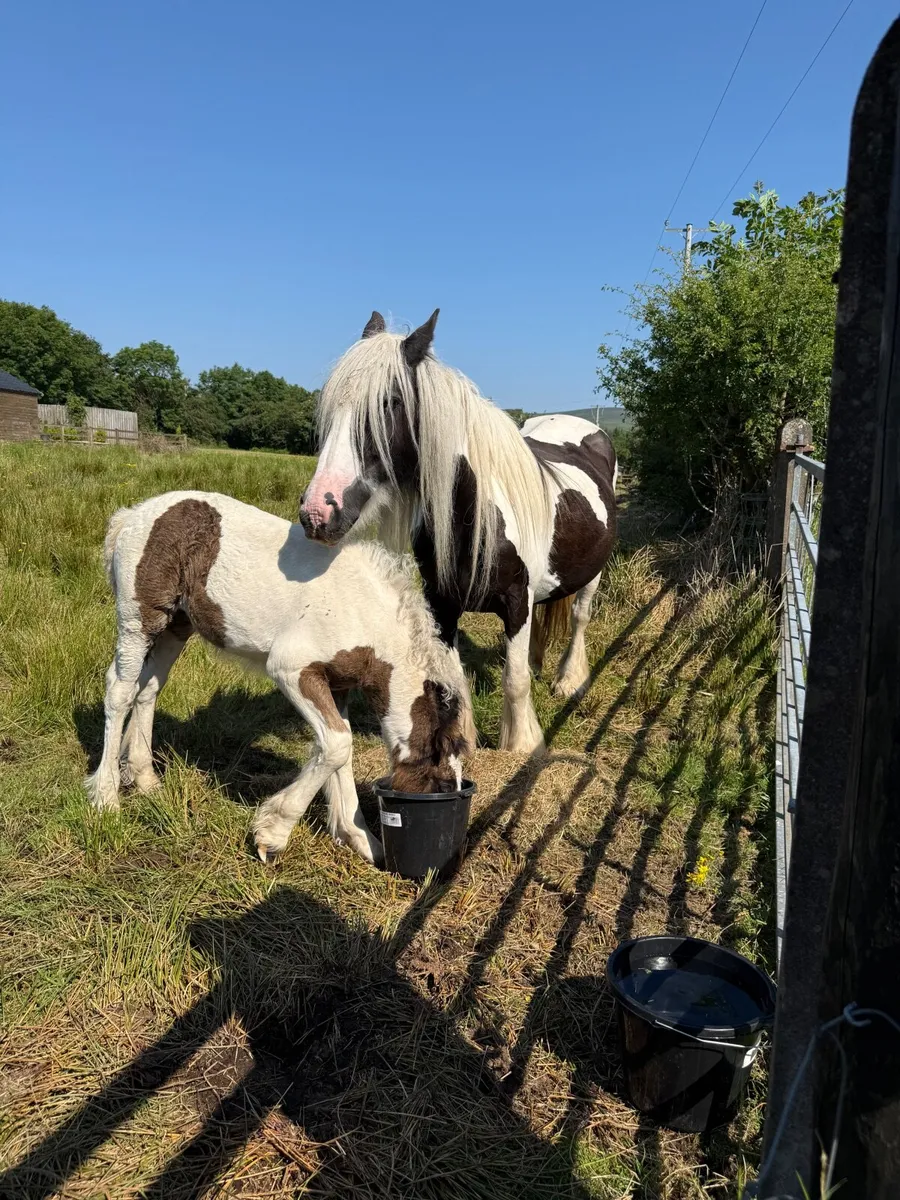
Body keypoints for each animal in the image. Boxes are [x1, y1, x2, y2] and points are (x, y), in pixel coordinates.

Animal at [86, 491, 472, 864]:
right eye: (440, 785)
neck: (362, 614)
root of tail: (133, 515)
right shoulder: (291, 670)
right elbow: (337, 744)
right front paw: (272, 834)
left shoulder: (337, 685)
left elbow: (339, 751)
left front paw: (359, 839)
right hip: (140, 620)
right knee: (119, 690)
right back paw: (106, 798)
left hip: (176, 626)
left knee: (148, 689)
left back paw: (146, 780)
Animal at [299, 310, 617, 754]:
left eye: (389, 402)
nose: (317, 513)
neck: (476, 516)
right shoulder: (442, 605)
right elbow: (455, 681)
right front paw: (462, 740)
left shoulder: (516, 602)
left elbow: (514, 681)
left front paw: (522, 745)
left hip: (593, 574)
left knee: (580, 617)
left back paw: (569, 680)